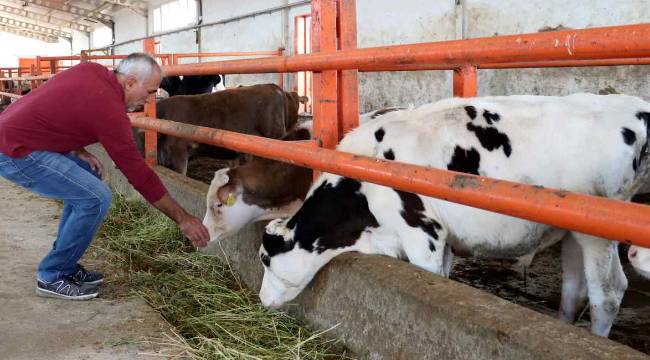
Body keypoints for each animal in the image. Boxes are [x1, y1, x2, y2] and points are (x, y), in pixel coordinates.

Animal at [256, 93, 648, 338]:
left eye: (266, 260)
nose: (261, 301)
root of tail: (635, 107)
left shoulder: (423, 233)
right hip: (572, 230)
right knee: (572, 290)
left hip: (599, 231)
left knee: (609, 292)